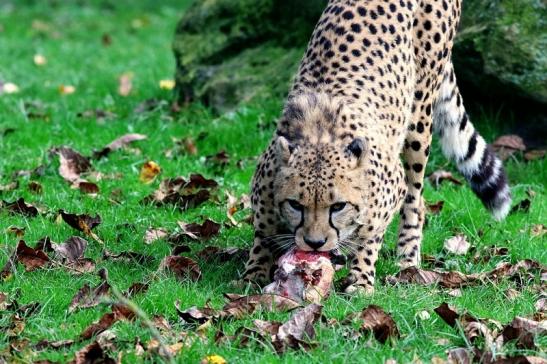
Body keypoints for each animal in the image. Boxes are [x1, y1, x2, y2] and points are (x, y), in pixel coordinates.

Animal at [242, 0, 512, 292]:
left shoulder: (391, 187)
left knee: (416, 199)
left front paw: (361, 279)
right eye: (295, 204)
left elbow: (372, 233)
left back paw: (407, 258)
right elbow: (262, 234)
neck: (320, 136)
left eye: (338, 206)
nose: (315, 243)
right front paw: (254, 272)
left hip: (419, 113)